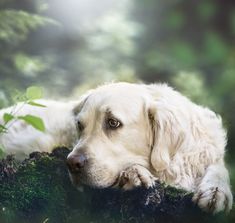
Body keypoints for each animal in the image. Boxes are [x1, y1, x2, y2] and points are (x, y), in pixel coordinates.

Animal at [0, 82, 232, 214]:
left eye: (113, 123)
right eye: (79, 125)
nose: (72, 164)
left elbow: (219, 168)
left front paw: (215, 191)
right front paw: (134, 174)